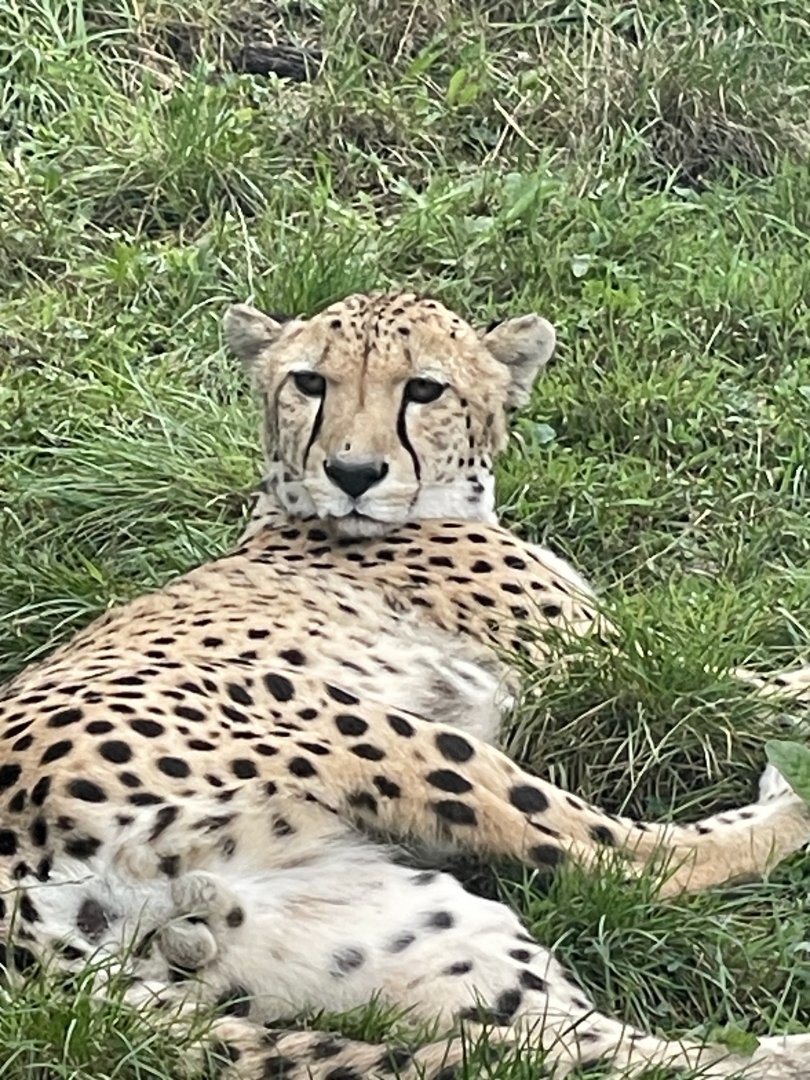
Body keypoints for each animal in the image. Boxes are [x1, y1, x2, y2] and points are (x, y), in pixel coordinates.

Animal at [2, 291, 810, 1080]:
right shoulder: (596, 664)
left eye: (424, 389)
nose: (353, 474)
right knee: (633, 863)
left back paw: (784, 1053)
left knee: (559, 1050)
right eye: (309, 382)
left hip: (399, 934)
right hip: (355, 726)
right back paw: (791, 803)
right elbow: (735, 685)